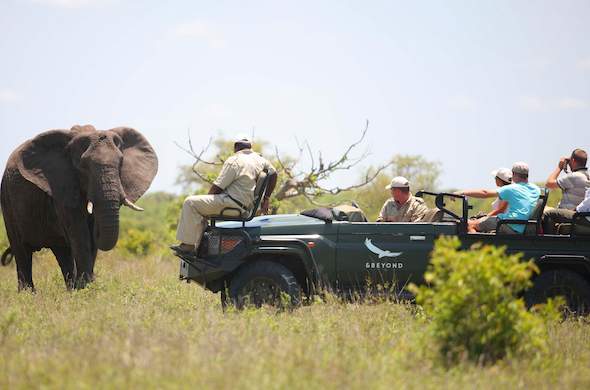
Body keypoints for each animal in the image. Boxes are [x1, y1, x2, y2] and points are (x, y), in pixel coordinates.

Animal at [0, 125, 158, 290]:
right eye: (84, 166)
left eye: (121, 162)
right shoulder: (63, 187)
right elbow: (80, 235)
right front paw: (86, 289)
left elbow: (89, 238)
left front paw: (86, 288)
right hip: (7, 200)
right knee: (21, 250)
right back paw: (28, 294)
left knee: (62, 251)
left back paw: (70, 289)